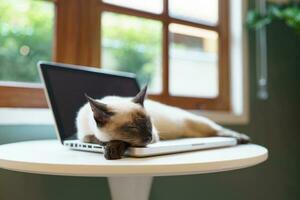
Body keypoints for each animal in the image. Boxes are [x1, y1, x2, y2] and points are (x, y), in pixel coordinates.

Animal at [76, 85, 250, 159]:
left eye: (148, 123)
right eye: (132, 127)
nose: (148, 137)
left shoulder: (155, 136)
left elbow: (121, 141)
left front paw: (112, 150)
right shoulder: (84, 137)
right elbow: (99, 139)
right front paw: (109, 147)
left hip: (199, 123)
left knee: (218, 130)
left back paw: (241, 138)